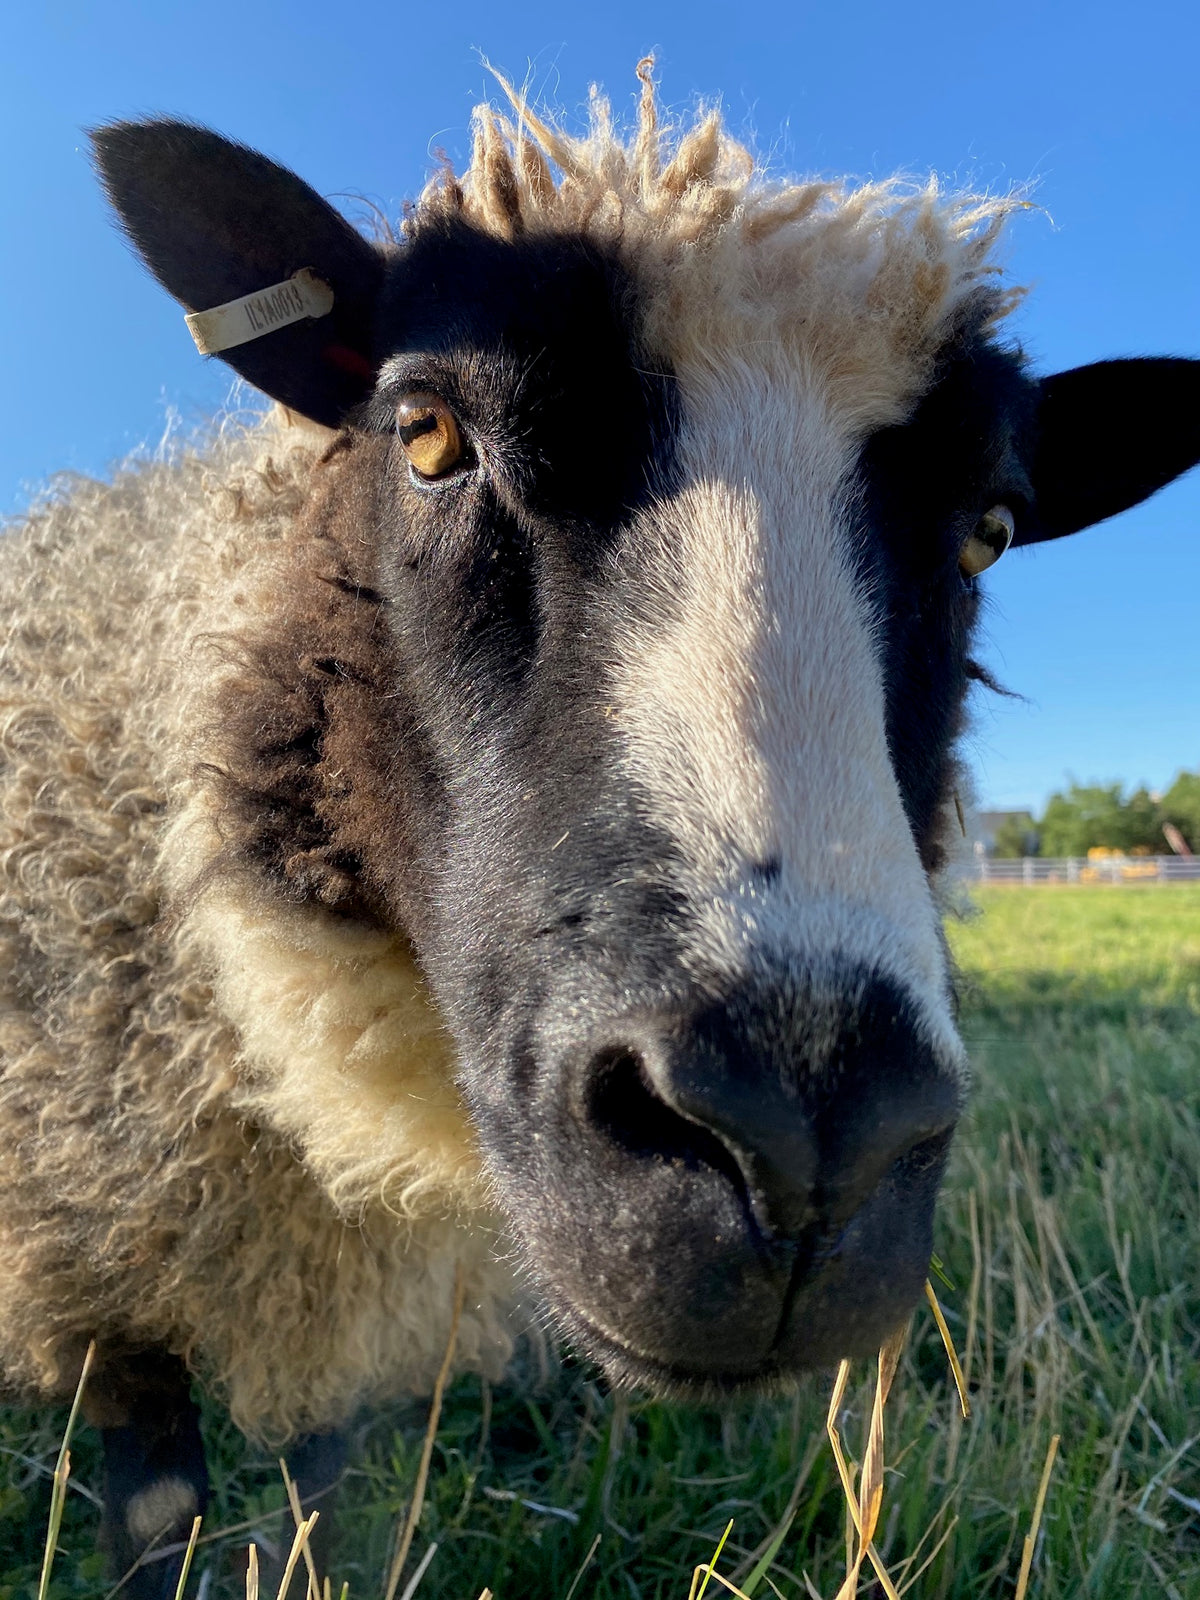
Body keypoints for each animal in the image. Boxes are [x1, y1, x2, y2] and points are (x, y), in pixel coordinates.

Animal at [3, 63, 1199, 1595]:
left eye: (991, 529)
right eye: (426, 432)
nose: (808, 1143)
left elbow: (318, 1497)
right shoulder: (105, 1261)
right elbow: (160, 1520)